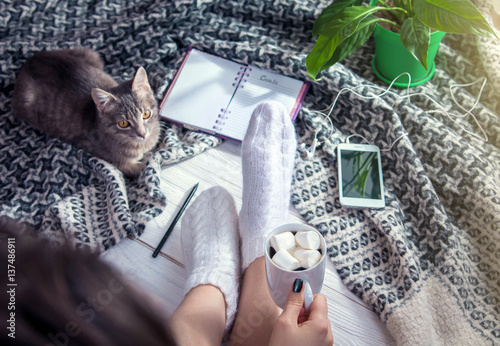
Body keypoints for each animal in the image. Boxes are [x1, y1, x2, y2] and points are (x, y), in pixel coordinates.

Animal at [12, 47, 160, 177]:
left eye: (146, 114)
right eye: (123, 123)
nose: (142, 134)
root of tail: (30, 60)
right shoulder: (107, 157)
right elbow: (139, 167)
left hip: (90, 54)